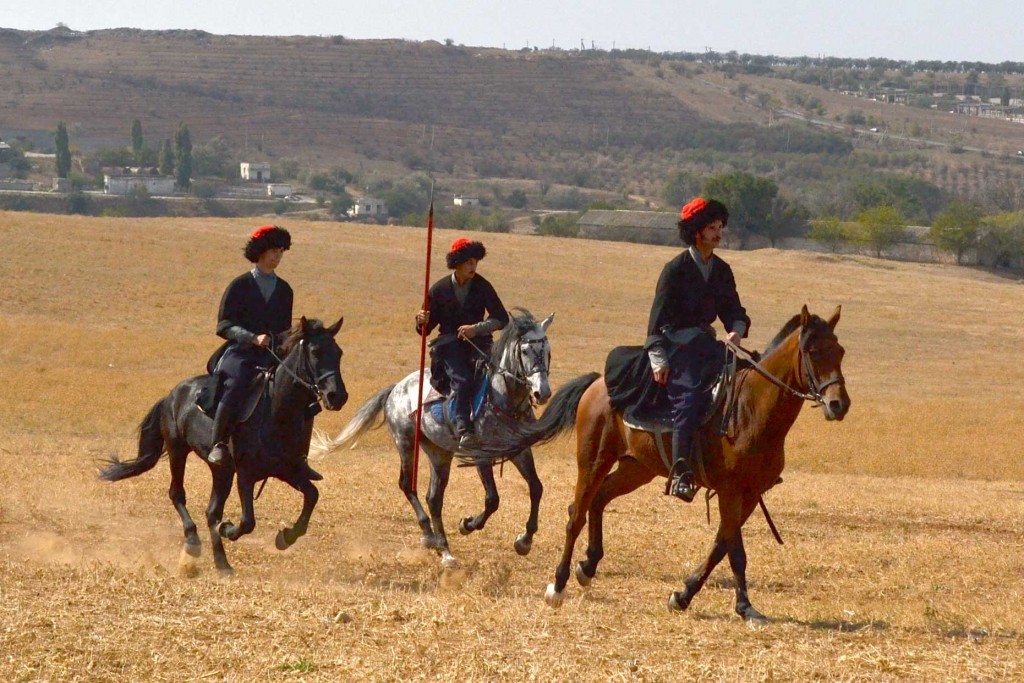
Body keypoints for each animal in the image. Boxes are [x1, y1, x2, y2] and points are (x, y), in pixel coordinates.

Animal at [100, 317, 348, 573]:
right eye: (315, 352)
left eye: (338, 353)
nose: (337, 396)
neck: (278, 410)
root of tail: (172, 395)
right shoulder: (246, 474)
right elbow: (248, 521)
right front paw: (228, 529)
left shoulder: (289, 470)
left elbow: (312, 495)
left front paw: (286, 537)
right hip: (178, 451)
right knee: (178, 494)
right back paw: (193, 542)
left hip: (222, 471)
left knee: (212, 512)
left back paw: (222, 564)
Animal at [313, 309, 552, 565]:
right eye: (525, 351)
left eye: (548, 350)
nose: (542, 393)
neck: (502, 397)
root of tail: (395, 388)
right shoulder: (480, 454)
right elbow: (492, 499)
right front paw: (467, 524)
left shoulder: (520, 450)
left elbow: (536, 487)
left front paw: (524, 541)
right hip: (406, 442)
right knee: (407, 485)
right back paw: (431, 536)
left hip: (439, 453)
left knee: (434, 498)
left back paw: (443, 548)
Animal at [503, 307, 847, 622]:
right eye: (812, 351)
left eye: (840, 352)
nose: (838, 404)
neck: (750, 408)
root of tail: (598, 383)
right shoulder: (731, 491)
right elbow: (735, 551)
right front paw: (744, 606)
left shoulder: (750, 495)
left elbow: (720, 545)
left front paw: (684, 595)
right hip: (593, 461)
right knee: (576, 516)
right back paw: (558, 585)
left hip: (636, 468)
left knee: (598, 500)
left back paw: (588, 566)